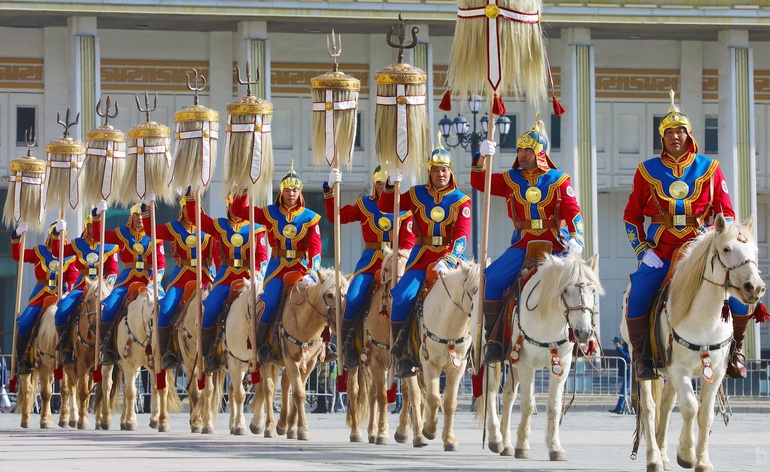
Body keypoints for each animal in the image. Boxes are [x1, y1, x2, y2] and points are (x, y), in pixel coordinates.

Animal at [249, 268, 348, 440]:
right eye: (330, 295)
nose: (341, 322)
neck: (305, 324)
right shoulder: (290, 359)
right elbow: (299, 393)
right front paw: (302, 429)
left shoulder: (310, 362)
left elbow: (298, 390)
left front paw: (294, 428)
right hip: (267, 359)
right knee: (269, 389)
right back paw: (268, 426)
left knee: (284, 384)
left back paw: (283, 424)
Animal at [346, 249, 412, 444]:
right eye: (387, 269)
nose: (394, 295)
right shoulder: (376, 360)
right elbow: (383, 396)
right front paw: (383, 432)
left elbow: (406, 393)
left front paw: (402, 432)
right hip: (357, 362)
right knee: (354, 390)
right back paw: (356, 432)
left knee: (372, 393)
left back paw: (371, 431)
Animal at [396, 260, 480, 452]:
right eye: (473, 290)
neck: (449, 324)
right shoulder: (430, 363)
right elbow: (433, 398)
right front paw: (429, 429)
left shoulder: (457, 367)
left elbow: (449, 402)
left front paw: (449, 440)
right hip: (410, 363)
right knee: (413, 394)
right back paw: (415, 435)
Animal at [484, 253, 604, 460]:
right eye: (565, 290)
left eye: (593, 289)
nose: (582, 332)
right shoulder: (526, 364)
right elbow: (527, 404)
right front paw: (523, 446)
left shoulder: (562, 366)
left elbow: (554, 406)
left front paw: (555, 448)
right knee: (491, 391)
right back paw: (496, 439)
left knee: (508, 394)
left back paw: (506, 444)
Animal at [616, 215, 760, 472]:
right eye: (726, 249)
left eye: (754, 250)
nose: (755, 287)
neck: (706, 316)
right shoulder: (679, 369)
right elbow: (691, 407)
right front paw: (686, 454)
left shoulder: (716, 371)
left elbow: (705, 413)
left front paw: (702, 461)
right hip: (639, 360)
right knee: (650, 407)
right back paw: (654, 458)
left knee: (665, 403)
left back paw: (663, 455)